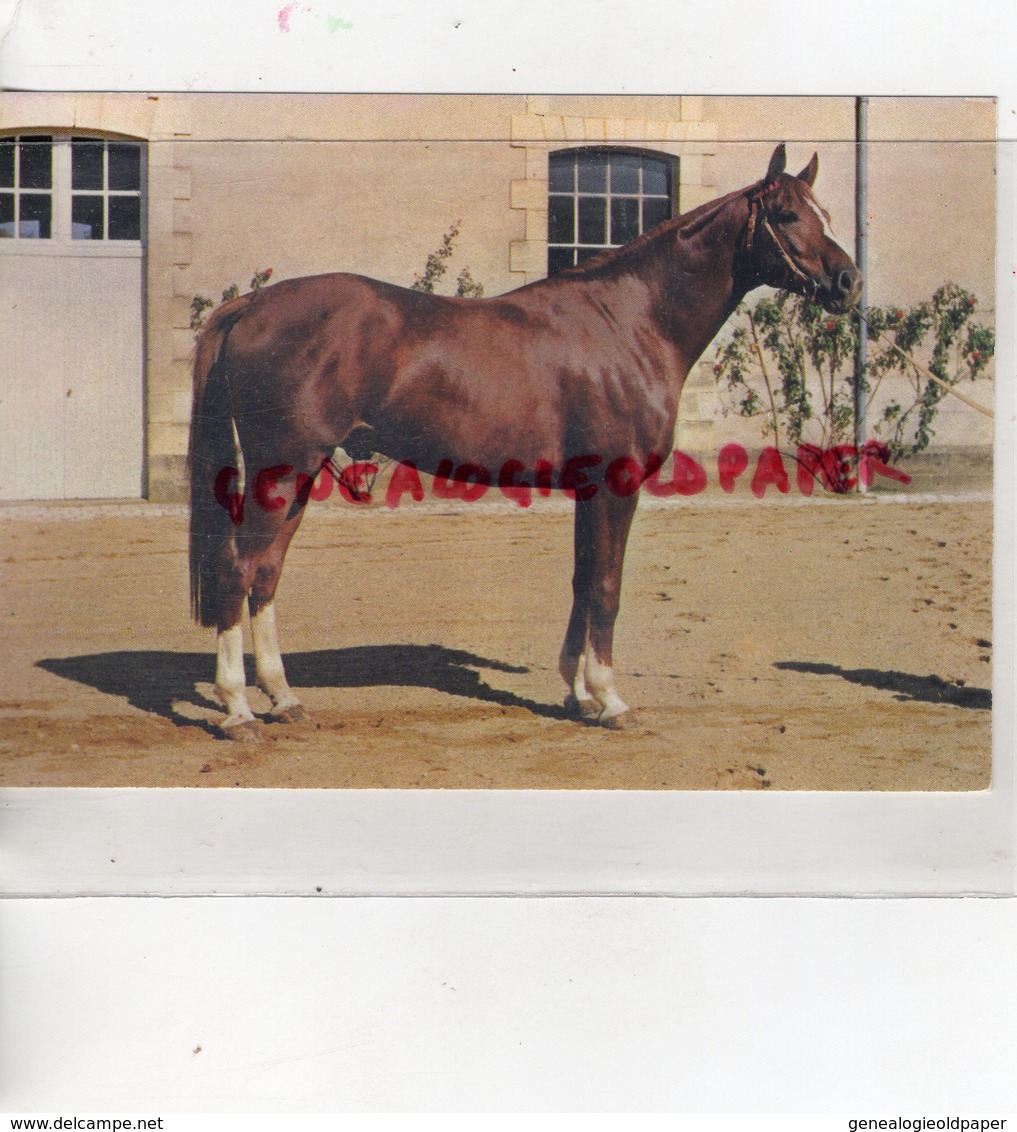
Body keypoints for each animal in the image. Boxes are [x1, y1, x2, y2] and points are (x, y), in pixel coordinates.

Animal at [187, 143, 856, 742]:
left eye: (824, 212)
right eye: (789, 215)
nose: (849, 282)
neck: (629, 322)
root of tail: (251, 305)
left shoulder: (589, 489)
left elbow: (584, 582)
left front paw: (578, 695)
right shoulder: (616, 485)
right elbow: (607, 589)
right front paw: (611, 701)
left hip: (300, 473)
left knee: (266, 573)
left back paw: (284, 699)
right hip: (281, 468)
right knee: (238, 568)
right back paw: (239, 711)